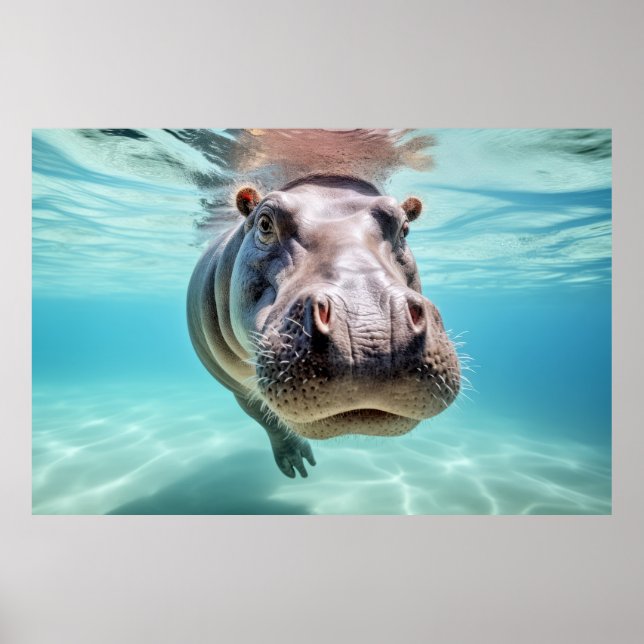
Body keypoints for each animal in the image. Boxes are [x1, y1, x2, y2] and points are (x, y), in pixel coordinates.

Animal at [187, 174, 460, 478]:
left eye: (404, 228)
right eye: (265, 223)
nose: (371, 334)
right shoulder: (237, 385)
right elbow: (265, 417)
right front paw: (295, 459)